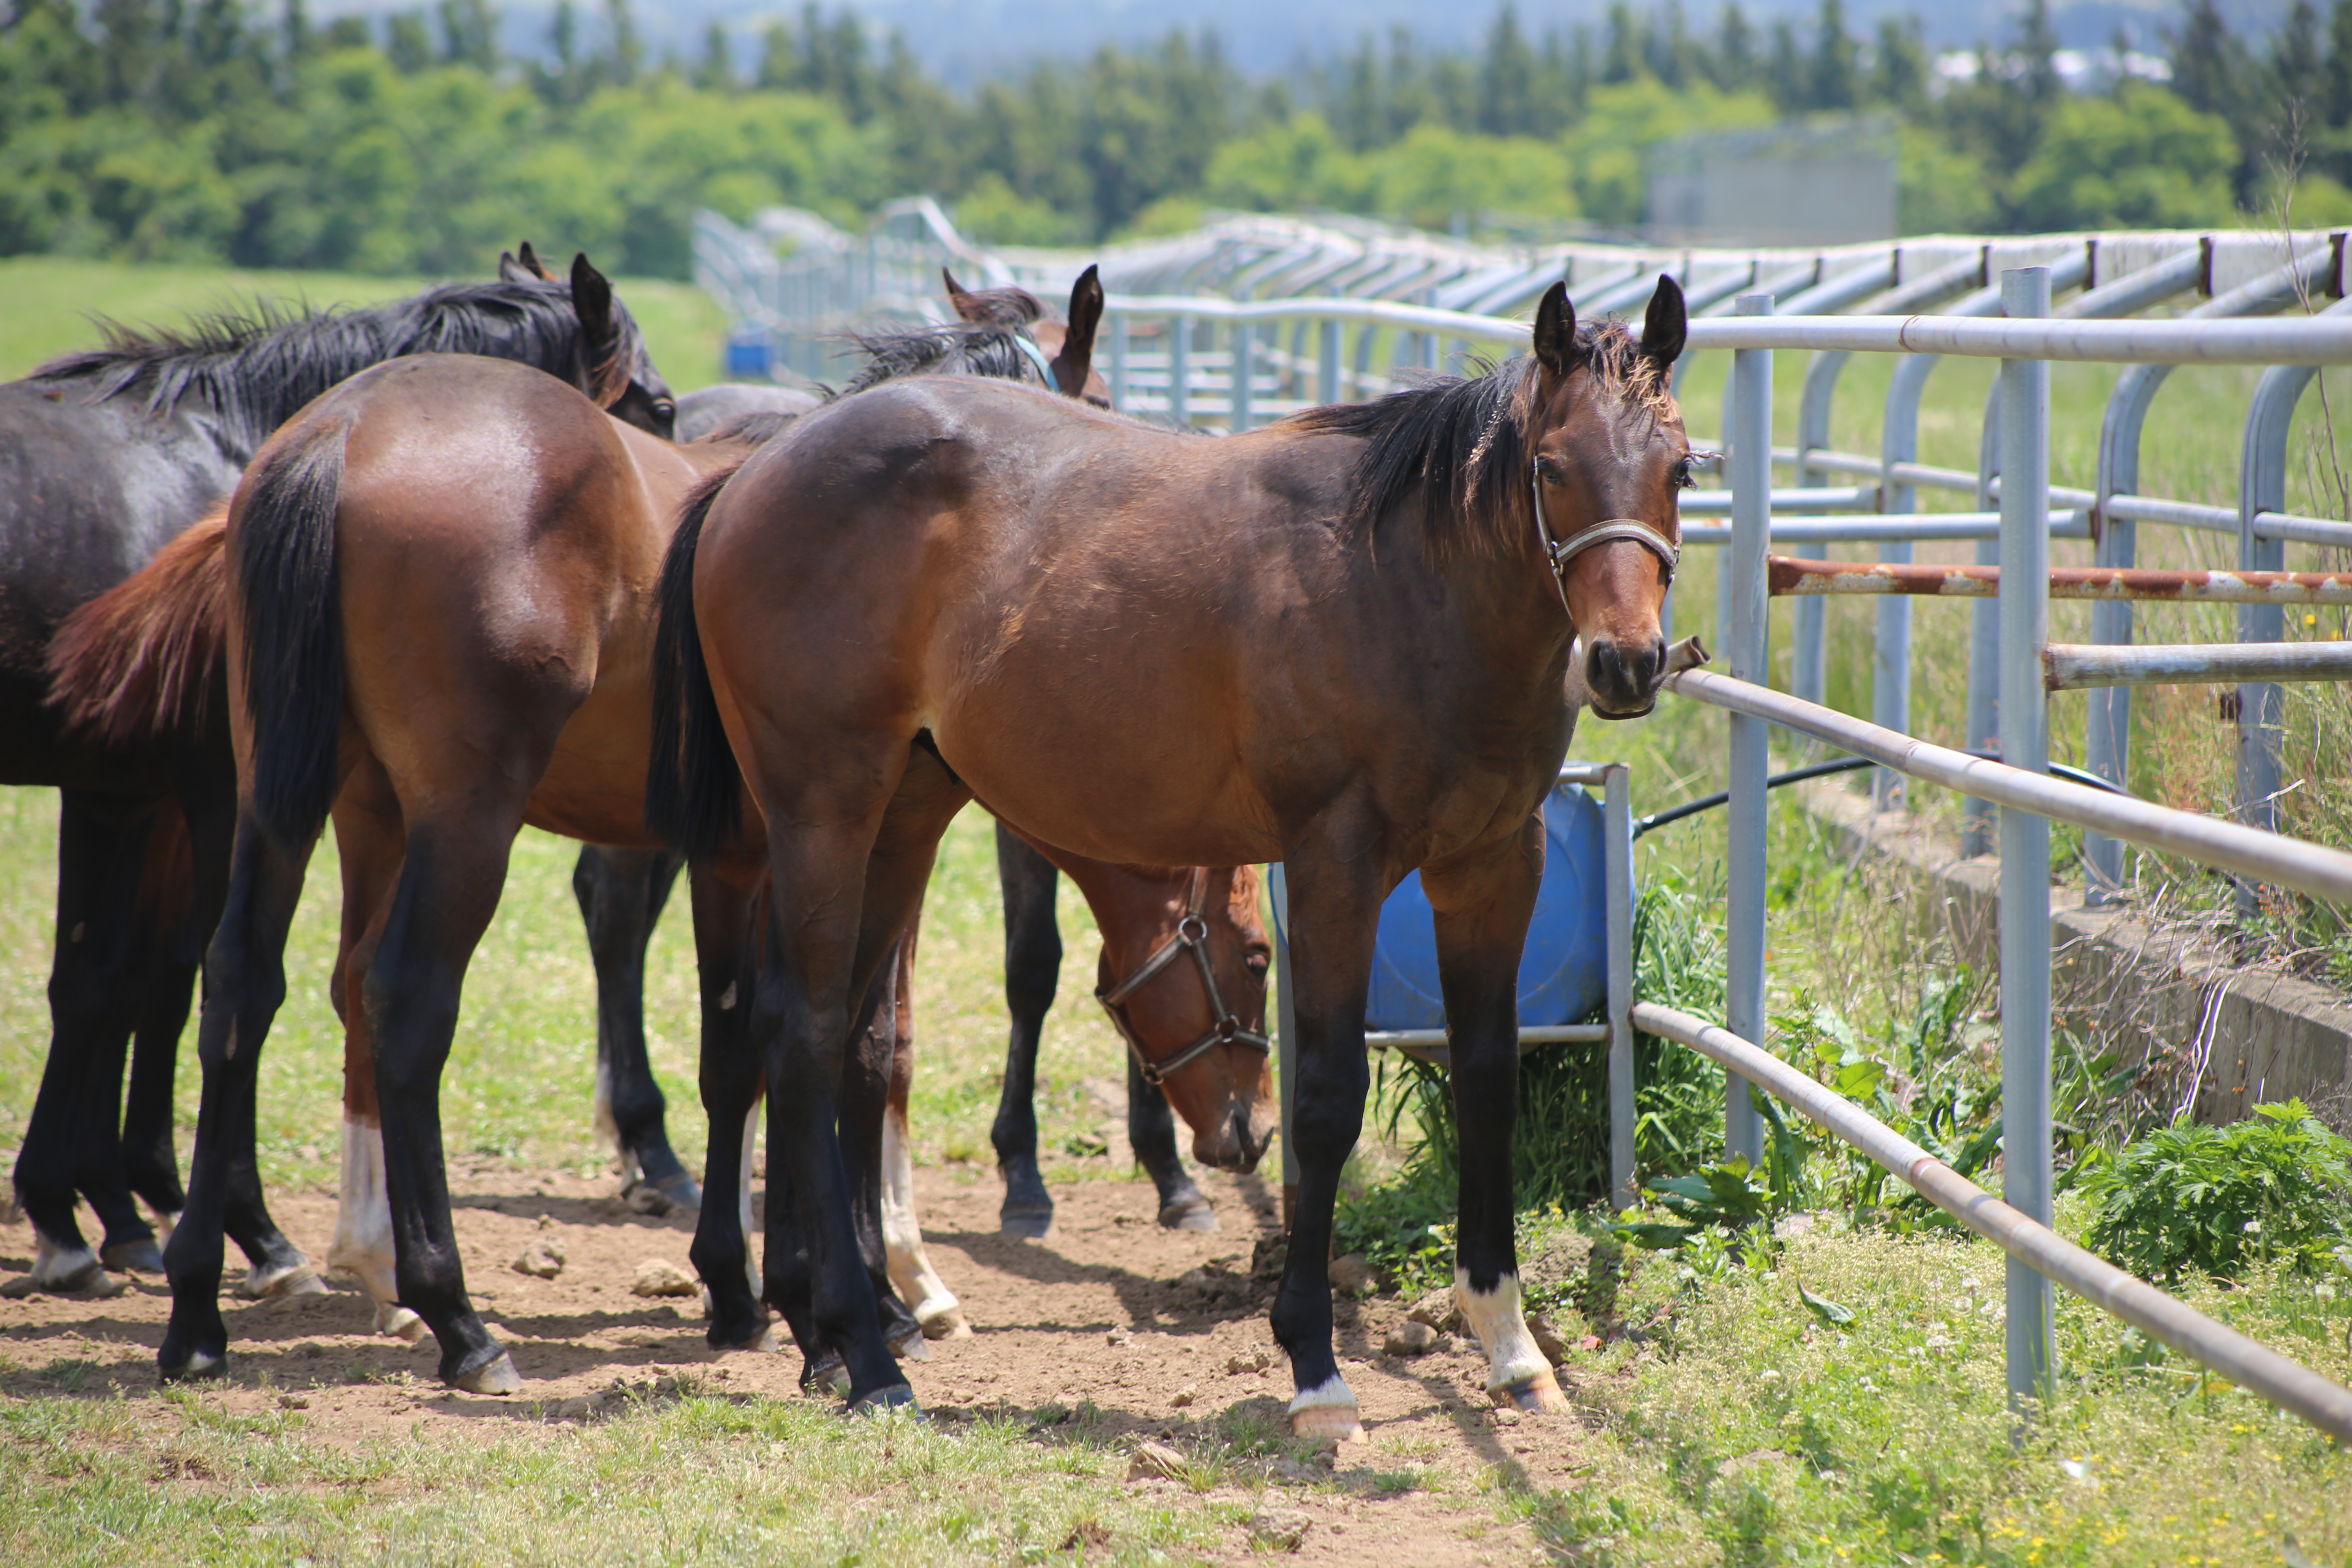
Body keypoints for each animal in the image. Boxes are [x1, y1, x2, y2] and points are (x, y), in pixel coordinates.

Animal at [4, 252, 677, 1297]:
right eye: (659, 404)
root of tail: (335, 445)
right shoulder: (187, 791)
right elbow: (151, 980)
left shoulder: (148, 792)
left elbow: (116, 979)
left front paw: (103, 1208)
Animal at [649, 282, 1693, 1439]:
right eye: (1550, 468)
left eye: (1680, 469)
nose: (1627, 661)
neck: (1404, 589)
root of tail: (754, 472)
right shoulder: (1335, 864)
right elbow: (1326, 1098)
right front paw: (1315, 1365)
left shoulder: (1491, 868)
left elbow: (1485, 1078)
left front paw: (1508, 1342)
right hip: (821, 814)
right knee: (800, 1035)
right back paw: (866, 1354)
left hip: (903, 813)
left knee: (846, 1041)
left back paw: (837, 1332)